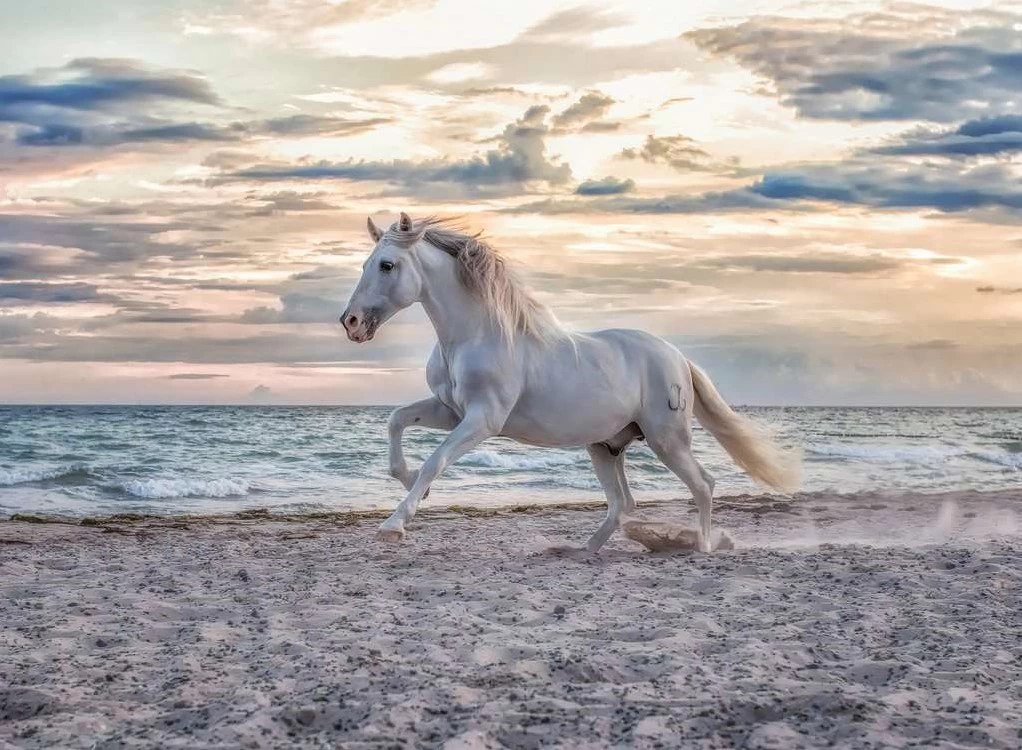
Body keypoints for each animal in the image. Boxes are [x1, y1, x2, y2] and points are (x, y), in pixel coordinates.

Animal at [340, 212, 801, 552]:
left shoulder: (483, 420)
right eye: (364, 264)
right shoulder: (450, 410)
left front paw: (395, 524)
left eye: (387, 265)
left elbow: (435, 461)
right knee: (622, 503)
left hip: (667, 440)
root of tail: (678, 358)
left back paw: (702, 547)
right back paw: (583, 550)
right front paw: (409, 484)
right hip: (605, 446)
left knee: (703, 485)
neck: (475, 335)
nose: (351, 323)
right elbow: (397, 421)